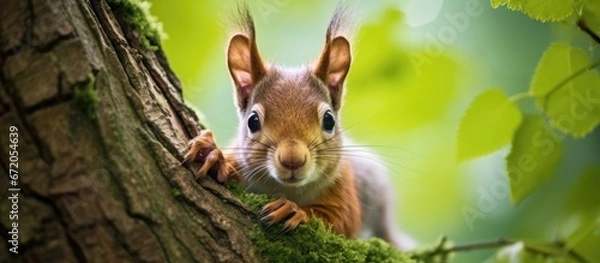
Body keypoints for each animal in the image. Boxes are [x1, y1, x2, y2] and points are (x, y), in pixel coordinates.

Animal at [185, 5, 414, 250]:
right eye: (253, 121)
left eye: (329, 120)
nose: (292, 159)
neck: (286, 189)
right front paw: (214, 155)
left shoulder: (343, 188)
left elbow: (342, 219)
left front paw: (294, 210)